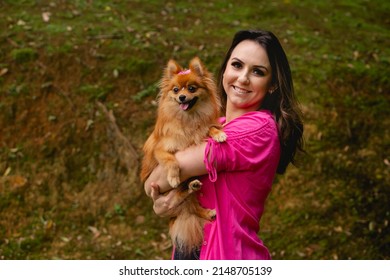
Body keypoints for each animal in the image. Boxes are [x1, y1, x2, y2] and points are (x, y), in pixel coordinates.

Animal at [141, 56, 227, 254]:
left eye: (192, 88)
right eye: (175, 90)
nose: (181, 97)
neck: (189, 119)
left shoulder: (201, 130)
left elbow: (210, 127)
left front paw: (219, 134)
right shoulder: (160, 150)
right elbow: (171, 160)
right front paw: (173, 177)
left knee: (192, 204)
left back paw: (202, 204)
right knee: (183, 199)